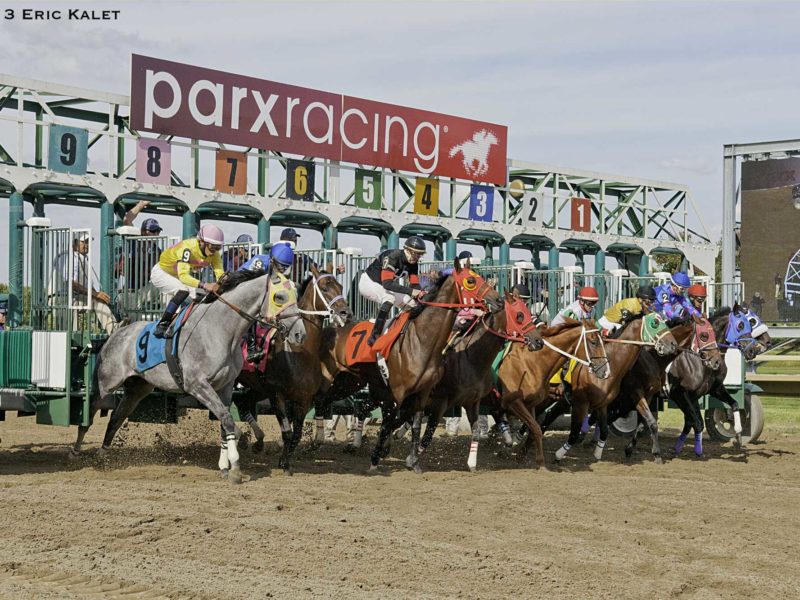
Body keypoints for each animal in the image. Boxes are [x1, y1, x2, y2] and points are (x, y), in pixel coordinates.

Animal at [71, 272, 306, 482]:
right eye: (279, 297)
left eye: (296, 295)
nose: (299, 334)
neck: (222, 331)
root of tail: (116, 333)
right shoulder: (198, 385)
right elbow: (228, 420)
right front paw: (236, 467)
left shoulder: (226, 386)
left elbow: (225, 424)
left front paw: (225, 467)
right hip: (106, 382)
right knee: (90, 412)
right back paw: (75, 452)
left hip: (137, 388)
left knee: (116, 417)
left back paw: (103, 455)